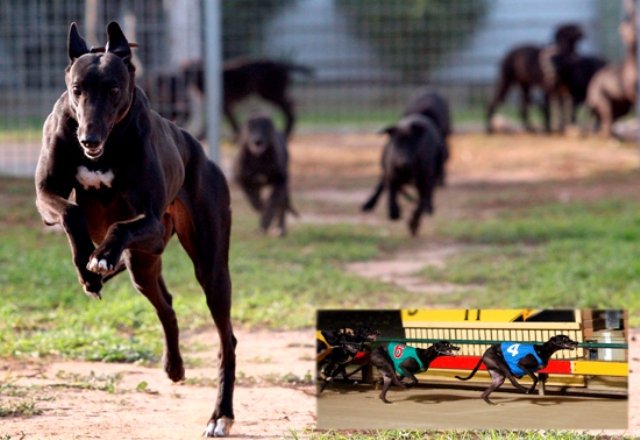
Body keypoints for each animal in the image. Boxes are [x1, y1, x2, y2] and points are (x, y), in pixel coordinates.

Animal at [35, 23, 235, 436]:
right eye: (77, 89)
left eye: (113, 89)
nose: (89, 139)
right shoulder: (45, 195)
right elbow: (72, 213)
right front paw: (88, 266)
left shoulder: (151, 221)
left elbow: (120, 227)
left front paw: (99, 258)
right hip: (144, 267)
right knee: (167, 306)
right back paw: (173, 366)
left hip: (207, 268)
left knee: (227, 340)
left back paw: (220, 415)